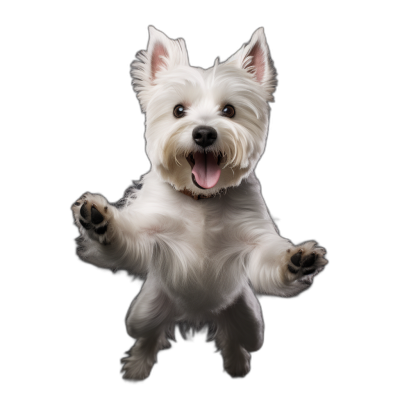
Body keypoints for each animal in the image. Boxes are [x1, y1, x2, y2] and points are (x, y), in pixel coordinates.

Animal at [72, 26, 328, 380]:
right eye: (178, 110)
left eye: (229, 110)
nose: (204, 134)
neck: (202, 201)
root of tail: (198, 313)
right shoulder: (149, 232)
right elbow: (126, 237)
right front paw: (99, 220)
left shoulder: (253, 239)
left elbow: (269, 256)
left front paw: (297, 260)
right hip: (143, 312)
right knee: (149, 335)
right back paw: (138, 366)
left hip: (251, 322)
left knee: (236, 339)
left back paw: (237, 364)